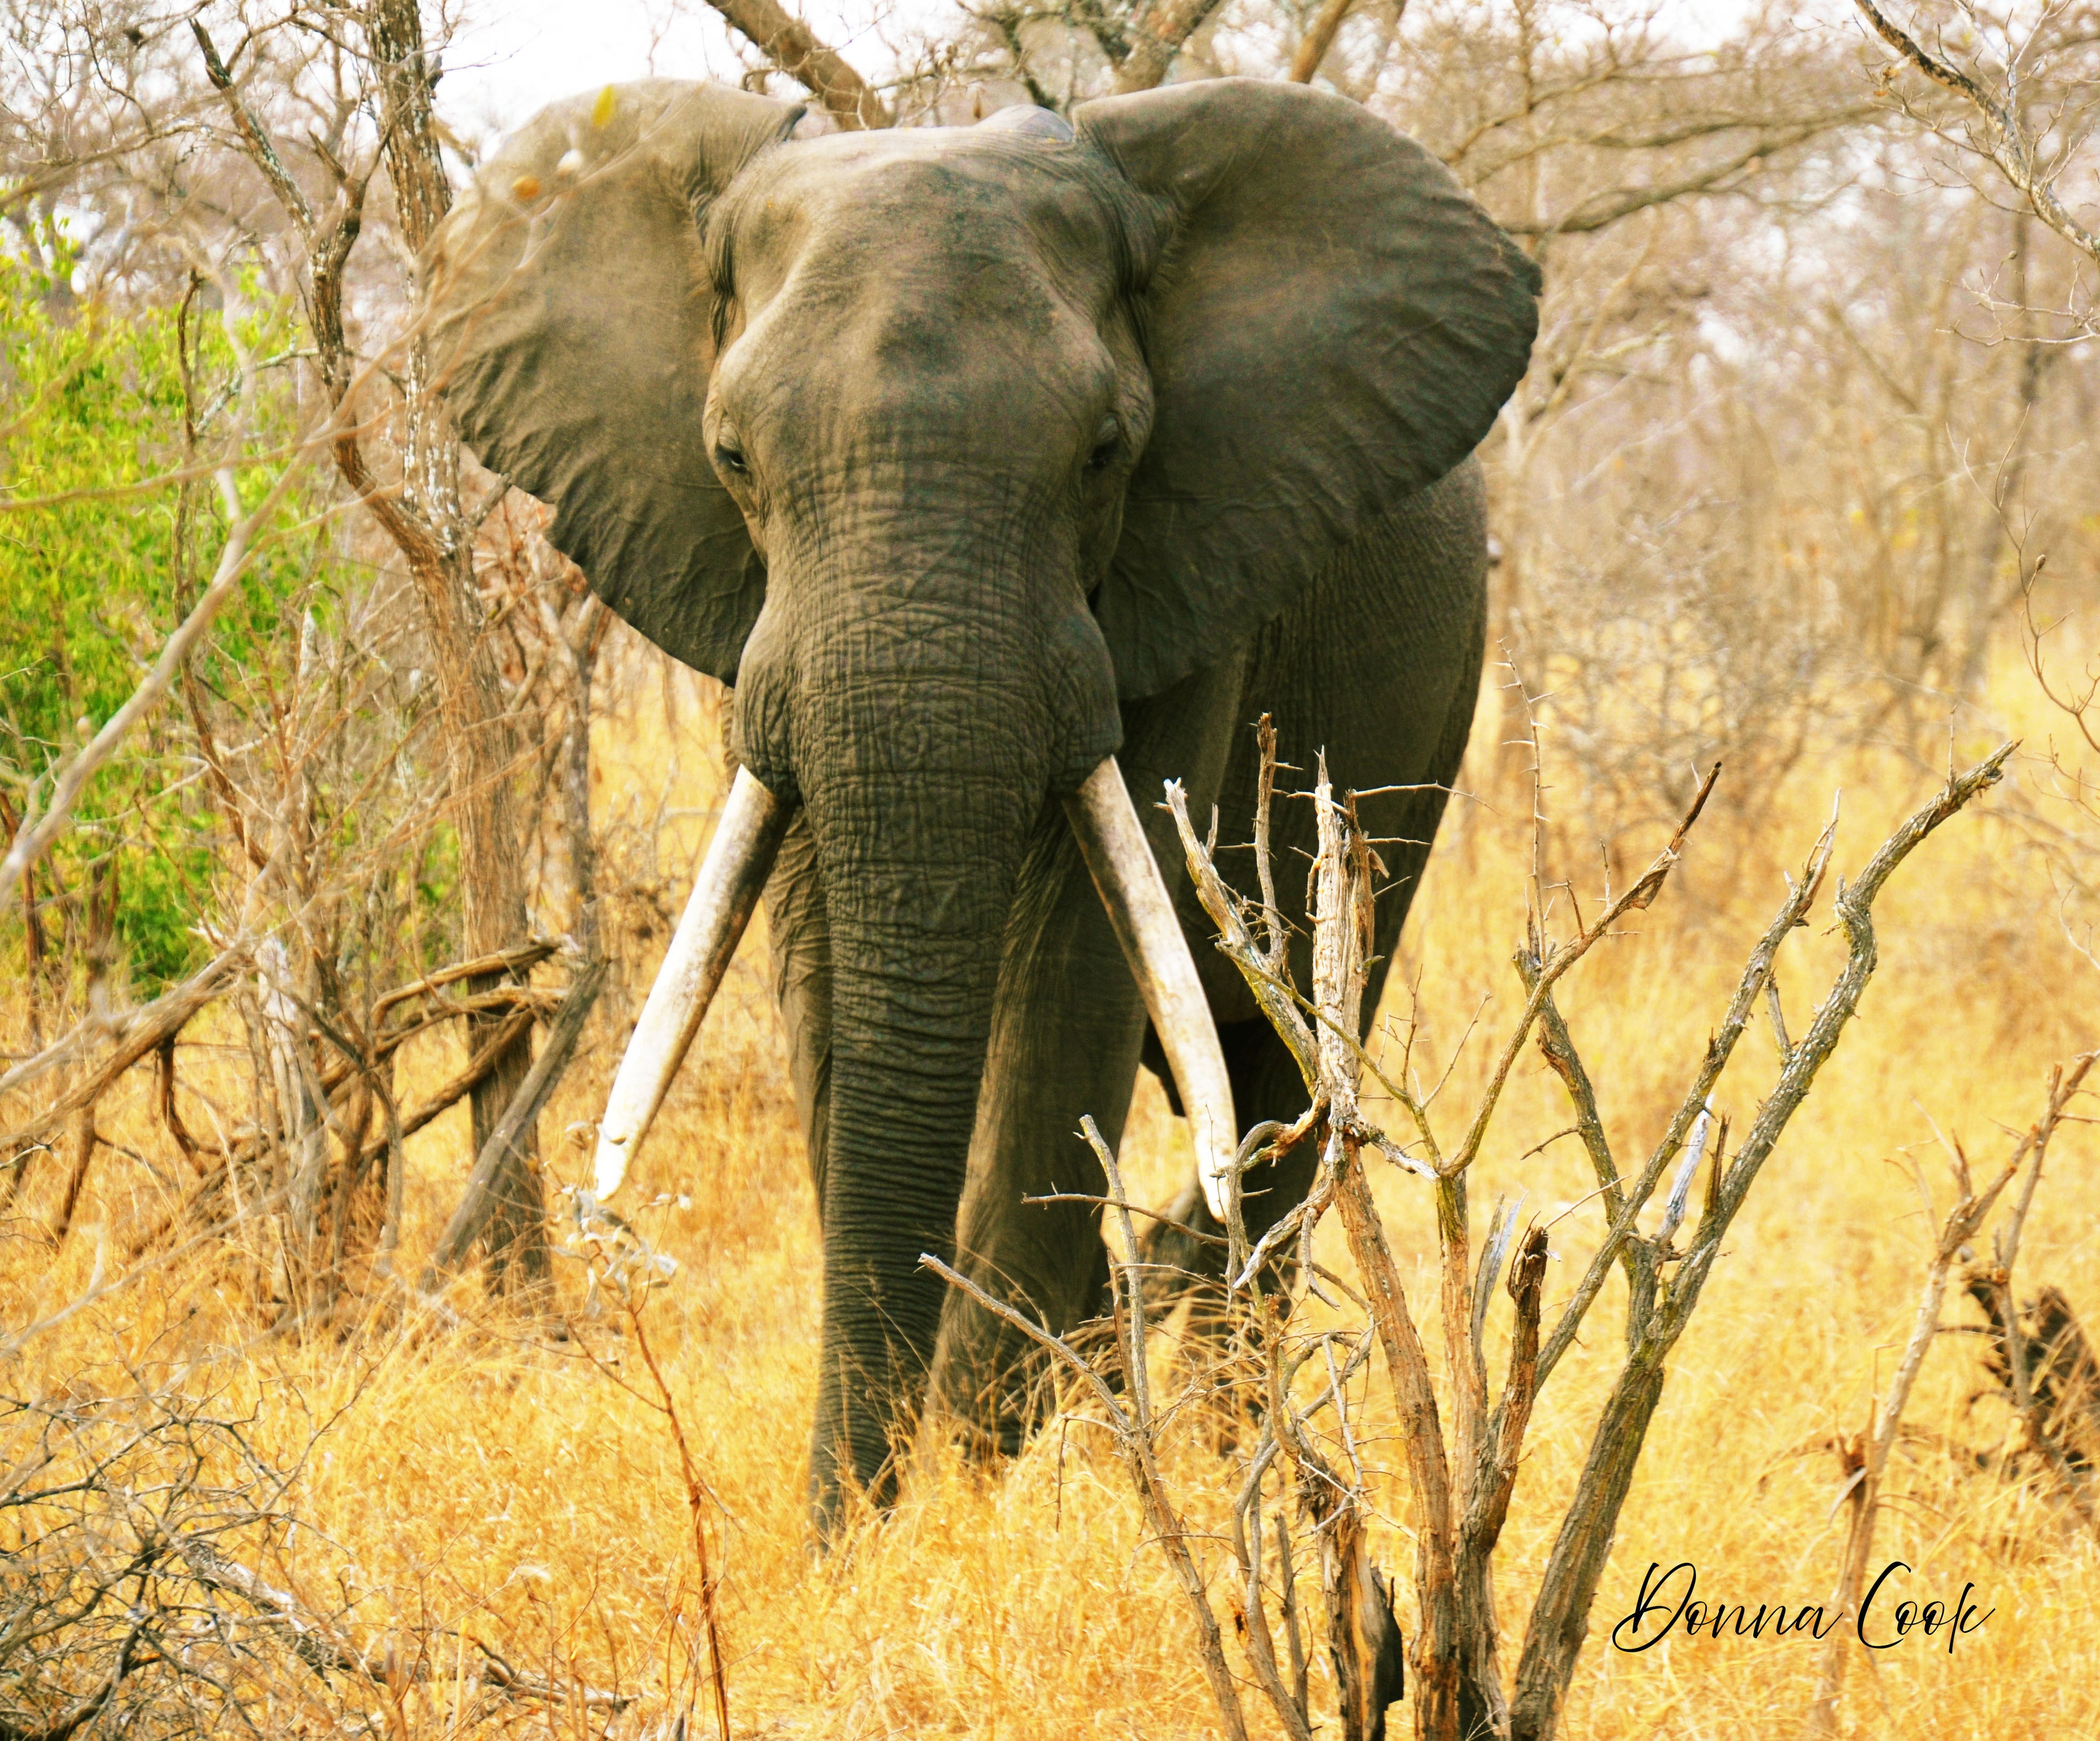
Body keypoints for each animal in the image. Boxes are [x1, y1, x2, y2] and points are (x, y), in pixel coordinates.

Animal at [427, 74, 1539, 1532]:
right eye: (730, 455)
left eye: (1106, 451)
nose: (837, 1526)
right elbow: (822, 954)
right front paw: (909, 1499)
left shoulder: (1178, 585)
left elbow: (1069, 974)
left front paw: (965, 1482)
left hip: (1427, 715)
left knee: (1283, 1076)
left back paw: (1218, 1444)